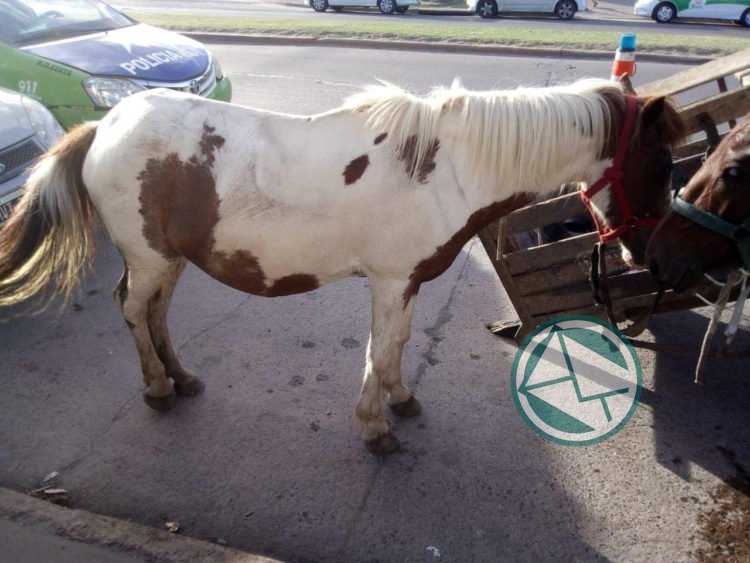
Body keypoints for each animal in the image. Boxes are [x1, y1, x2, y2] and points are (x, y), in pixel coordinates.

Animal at [0, 78, 685, 455]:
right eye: (661, 161)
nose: (654, 258)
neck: (449, 167)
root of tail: (103, 127)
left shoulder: (406, 281)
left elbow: (396, 347)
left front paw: (400, 400)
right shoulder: (390, 280)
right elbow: (379, 351)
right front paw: (374, 427)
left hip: (169, 258)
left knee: (157, 313)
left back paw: (182, 377)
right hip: (147, 257)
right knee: (134, 310)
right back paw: (158, 389)